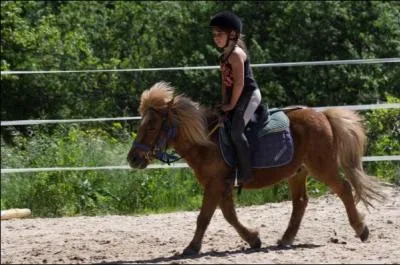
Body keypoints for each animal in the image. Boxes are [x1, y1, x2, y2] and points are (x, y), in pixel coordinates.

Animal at [127, 81, 384, 255]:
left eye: (152, 126)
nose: (133, 158)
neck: (207, 142)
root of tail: (323, 115)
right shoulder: (222, 186)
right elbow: (228, 215)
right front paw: (253, 239)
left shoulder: (215, 185)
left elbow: (204, 217)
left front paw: (192, 247)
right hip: (298, 172)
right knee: (300, 202)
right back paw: (286, 239)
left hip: (323, 167)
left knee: (344, 188)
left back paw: (361, 229)